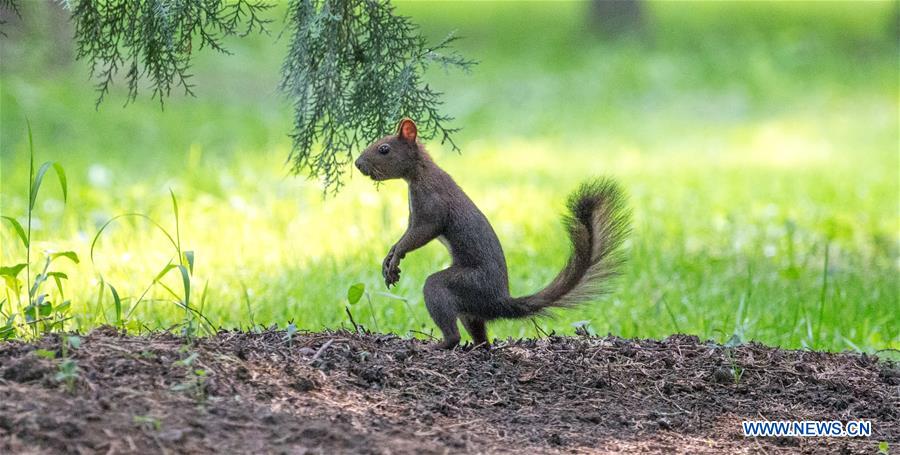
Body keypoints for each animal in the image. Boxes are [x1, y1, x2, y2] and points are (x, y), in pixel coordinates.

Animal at [356, 119, 628, 350]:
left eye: (384, 149)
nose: (358, 164)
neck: (419, 174)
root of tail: (498, 300)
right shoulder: (414, 215)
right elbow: (405, 236)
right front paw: (389, 259)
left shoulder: (432, 205)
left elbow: (420, 234)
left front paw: (396, 258)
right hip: (470, 312)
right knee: (480, 335)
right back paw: (477, 347)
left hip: (464, 284)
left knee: (449, 322)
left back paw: (440, 345)